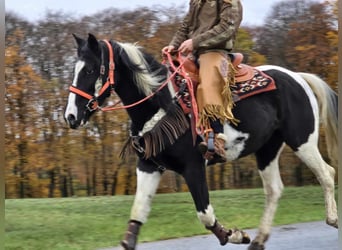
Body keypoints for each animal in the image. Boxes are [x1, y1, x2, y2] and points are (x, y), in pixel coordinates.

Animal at [63, 33, 336, 250]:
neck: (163, 103)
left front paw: (235, 235)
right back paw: (259, 241)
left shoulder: (193, 167)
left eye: (89, 70)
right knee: (274, 189)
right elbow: (137, 214)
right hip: (267, 149)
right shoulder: (149, 166)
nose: (71, 116)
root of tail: (297, 77)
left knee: (326, 173)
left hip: (302, 141)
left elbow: (205, 214)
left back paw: (332, 219)